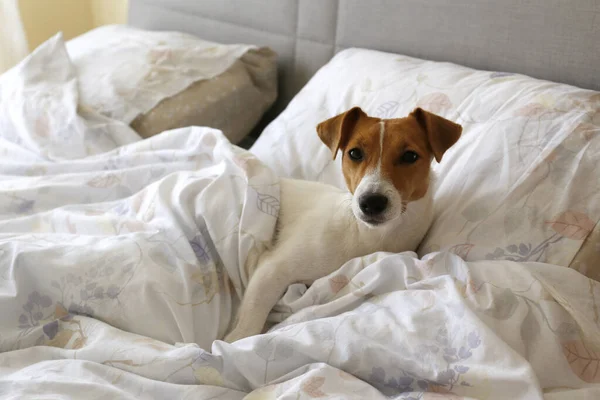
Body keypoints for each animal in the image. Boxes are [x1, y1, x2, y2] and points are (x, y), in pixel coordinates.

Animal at [223, 107, 462, 344]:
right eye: (355, 153)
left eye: (410, 156)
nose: (371, 202)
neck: (366, 235)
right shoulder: (272, 268)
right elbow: (247, 326)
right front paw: (230, 343)